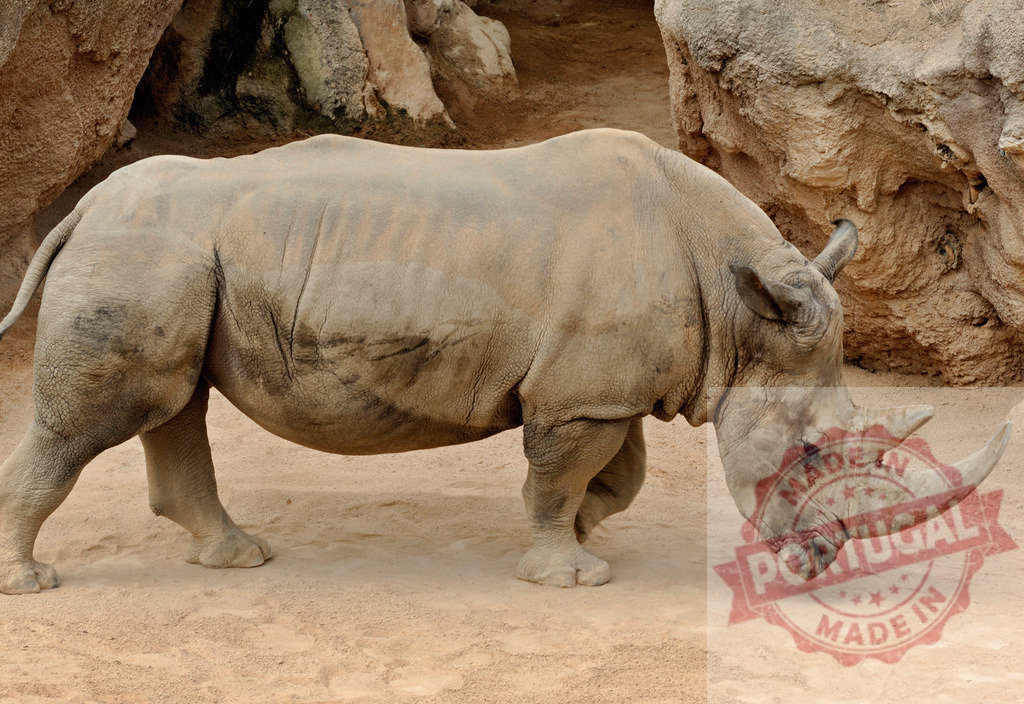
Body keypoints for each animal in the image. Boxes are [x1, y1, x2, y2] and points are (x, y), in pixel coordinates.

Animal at [0, 129, 1009, 594]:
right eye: (809, 453)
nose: (818, 564)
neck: (741, 309)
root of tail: (83, 209)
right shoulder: (583, 397)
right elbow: (559, 476)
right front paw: (569, 572)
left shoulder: (598, 387)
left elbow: (616, 475)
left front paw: (591, 533)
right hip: (144, 256)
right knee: (96, 421)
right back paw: (34, 585)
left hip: (170, 259)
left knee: (175, 404)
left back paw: (237, 558)